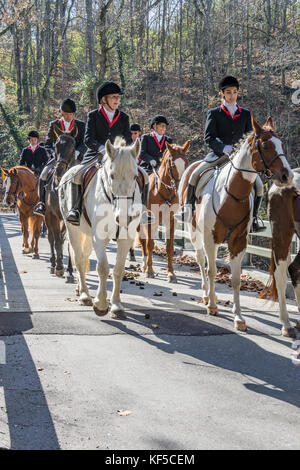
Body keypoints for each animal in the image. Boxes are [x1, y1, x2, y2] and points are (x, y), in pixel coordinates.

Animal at [59, 137, 143, 320]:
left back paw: (81, 289)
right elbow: (103, 268)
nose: (124, 217)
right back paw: (84, 295)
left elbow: (118, 270)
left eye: (135, 176)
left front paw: (116, 305)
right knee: (79, 258)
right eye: (112, 175)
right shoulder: (99, 237)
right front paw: (101, 304)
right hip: (73, 229)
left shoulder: (126, 239)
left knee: (84, 257)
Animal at [178, 115, 292, 332]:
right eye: (265, 145)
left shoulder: (238, 242)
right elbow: (212, 270)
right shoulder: (211, 238)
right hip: (195, 232)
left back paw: (212, 296)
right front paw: (212, 307)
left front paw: (238, 317)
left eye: (282, 144)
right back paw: (206, 295)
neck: (231, 194)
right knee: (201, 261)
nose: (287, 176)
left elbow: (237, 279)